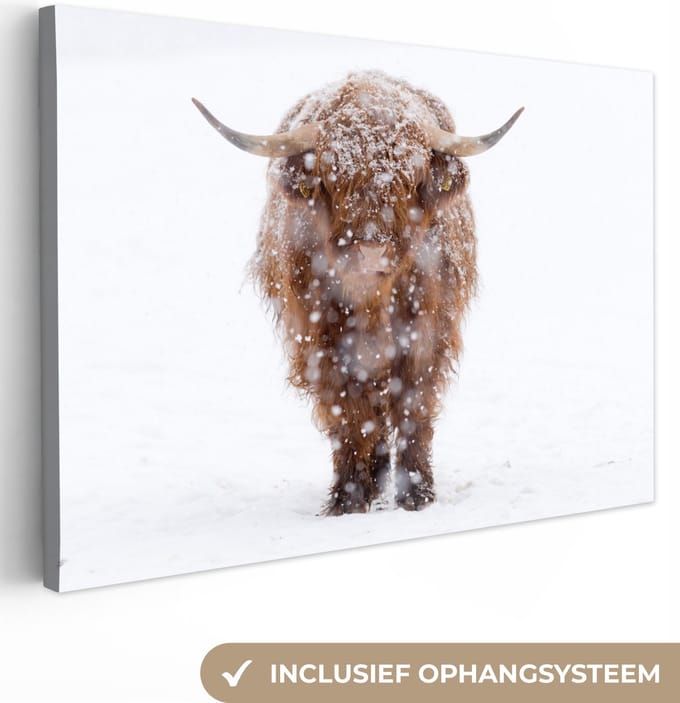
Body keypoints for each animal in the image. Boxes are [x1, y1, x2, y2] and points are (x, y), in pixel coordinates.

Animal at [193, 70, 522, 515]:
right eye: (334, 175)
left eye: (409, 177)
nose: (371, 250)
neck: (371, 300)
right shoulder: (319, 341)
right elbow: (347, 413)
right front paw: (347, 499)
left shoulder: (426, 332)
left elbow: (413, 404)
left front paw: (417, 495)